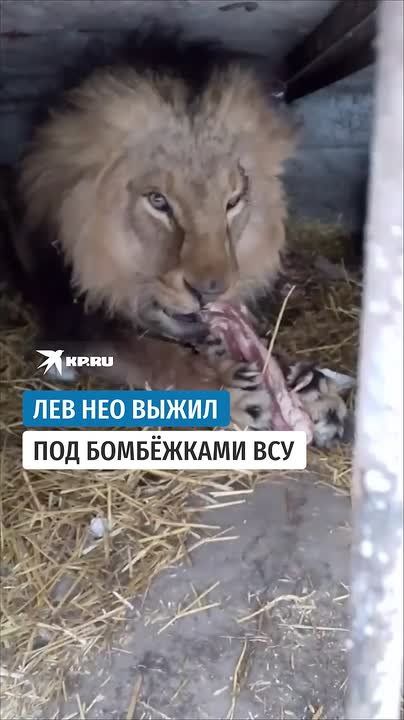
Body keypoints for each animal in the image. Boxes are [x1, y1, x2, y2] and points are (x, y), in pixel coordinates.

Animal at [11, 24, 347, 442]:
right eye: (158, 201)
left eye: (233, 201)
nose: (210, 292)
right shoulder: (68, 321)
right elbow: (148, 353)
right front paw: (230, 388)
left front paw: (309, 386)